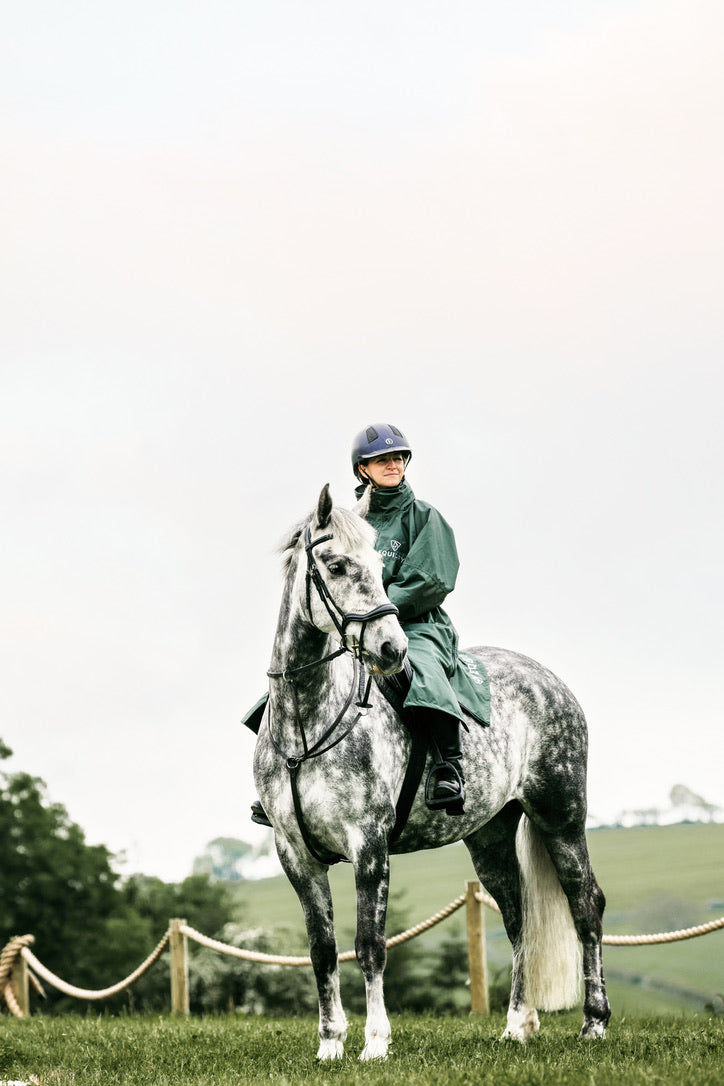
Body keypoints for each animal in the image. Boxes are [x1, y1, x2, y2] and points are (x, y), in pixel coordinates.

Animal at [252, 484, 610, 1060]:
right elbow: (323, 949)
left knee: (586, 906)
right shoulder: (296, 854)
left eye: (379, 566)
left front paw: (375, 1043)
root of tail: (549, 680)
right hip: (490, 836)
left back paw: (594, 1023)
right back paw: (518, 1023)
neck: (306, 729)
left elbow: (369, 946)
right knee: (518, 918)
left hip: (561, 818)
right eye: (335, 565)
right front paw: (330, 1043)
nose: (391, 649)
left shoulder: (368, 845)